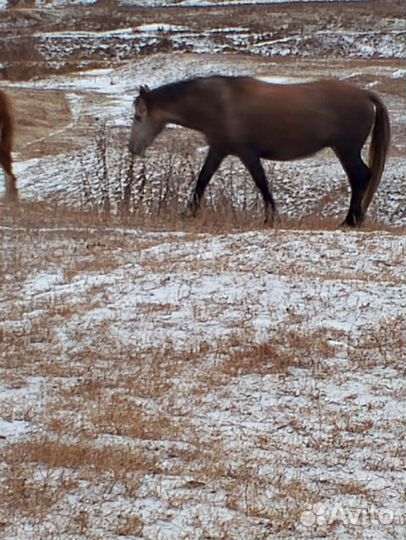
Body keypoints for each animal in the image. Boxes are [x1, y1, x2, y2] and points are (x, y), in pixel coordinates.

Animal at [127, 76, 390, 226]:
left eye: (138, 117)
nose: (133, 149)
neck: (219, 104)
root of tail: (365, 94)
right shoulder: (218, 150)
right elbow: (202, 180)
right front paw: (189, 213)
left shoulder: (247, 154)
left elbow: (261, 183)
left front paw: (270, 218)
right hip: (343, 150)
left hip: (347, 150)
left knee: (360, 177)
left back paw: (351, 220)